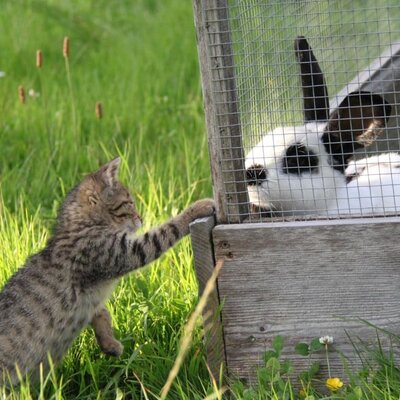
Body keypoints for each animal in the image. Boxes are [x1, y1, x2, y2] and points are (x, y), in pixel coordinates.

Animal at [0, 158, 216, 386]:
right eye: (129, 203)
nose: (141, 218)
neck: (82, 224)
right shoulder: (121, 251)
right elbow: (165, 232)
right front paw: (197, 208)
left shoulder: (93, 298)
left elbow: (101, 313)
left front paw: (109, 343)